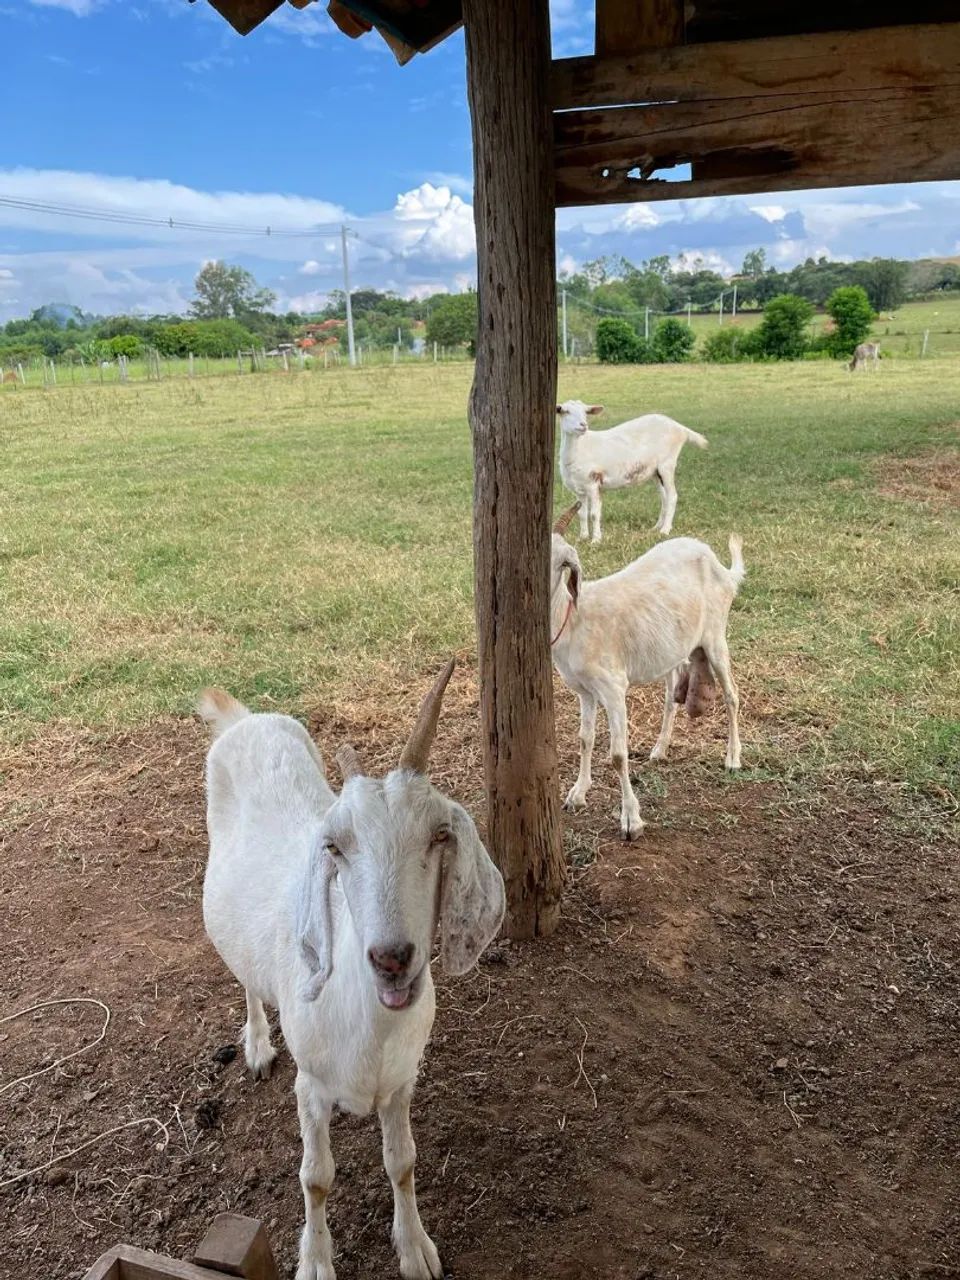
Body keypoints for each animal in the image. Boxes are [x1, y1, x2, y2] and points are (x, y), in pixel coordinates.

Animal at [199, 660, 505, 1280]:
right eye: (335, 847)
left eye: (440, 835)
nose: (392, 958)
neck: (369, 1027)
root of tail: (245, 720)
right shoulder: (311, 1087)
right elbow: (316, 1178)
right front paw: (316, 1261)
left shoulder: (402, 1082)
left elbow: (402, 1162)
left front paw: (415, 1248)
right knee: (246, 980)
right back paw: (258, 1045)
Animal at [550, 504, 744, 839]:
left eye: (562, 562)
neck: (573, 617)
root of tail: (719, 564)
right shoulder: (584, 690)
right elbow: (584, 739)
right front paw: (577, 794)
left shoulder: (613, 687)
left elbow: (617, 755)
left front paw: (631, 820)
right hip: (677, 648)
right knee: (670, 699)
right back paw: (660, 749)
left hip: (716, 636)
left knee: (731, 695)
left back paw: (732, 758)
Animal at [556, 399, 708, 542]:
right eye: (565, 411)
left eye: (585, 412)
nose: (583, 425)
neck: (580, 448)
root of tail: (680, 428)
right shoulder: (579, 489)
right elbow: (581, 514)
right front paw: (582, 537)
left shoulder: (593, 482)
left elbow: (594, 514)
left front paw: (596, 540)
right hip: (656, 471)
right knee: (664, 497)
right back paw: (656, 527)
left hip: (667, 464)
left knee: (672, 496)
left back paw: (665, 530)